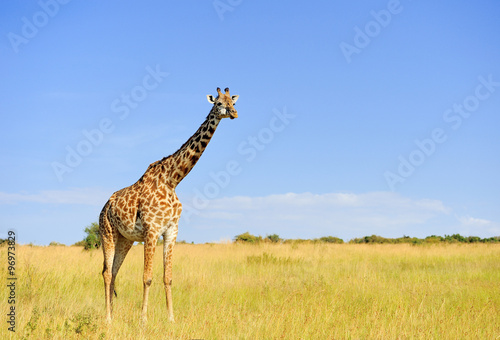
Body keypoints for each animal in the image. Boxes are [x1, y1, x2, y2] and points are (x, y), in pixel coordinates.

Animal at [98, 86, 239, 322]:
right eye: (219, 103)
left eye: (233, 102)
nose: (234, 113)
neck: (173, 179)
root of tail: (103, 208)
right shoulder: (152, 230)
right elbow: (147, 277)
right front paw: (143, 320)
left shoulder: (171, 230)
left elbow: (168, 277)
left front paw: (171, 318)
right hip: (107, 233)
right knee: (107, 272)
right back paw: (108, 318)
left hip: (125, 239)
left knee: (114, 271)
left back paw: (113, 314)